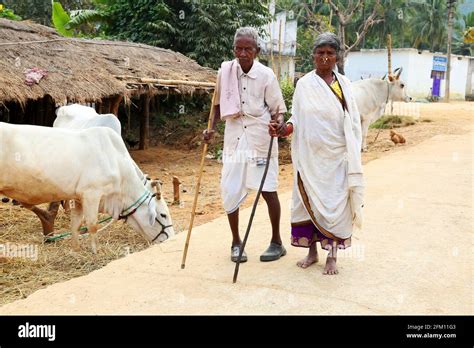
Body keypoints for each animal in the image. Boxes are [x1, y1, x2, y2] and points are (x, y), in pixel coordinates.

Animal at [0, 123, 174, 253]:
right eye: (163, 215)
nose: (172, 238)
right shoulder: (92, 194)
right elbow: (92, 225)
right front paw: (95, 252)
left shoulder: (78, 198)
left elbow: (75, 225)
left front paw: (76, 249)